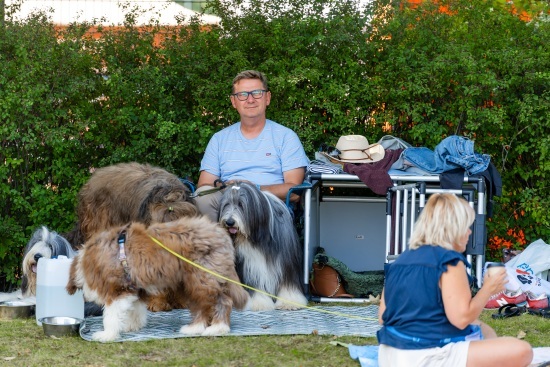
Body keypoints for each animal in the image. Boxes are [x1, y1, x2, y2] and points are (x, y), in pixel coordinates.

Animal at [66, 217, 249, 344]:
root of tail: (221, 234)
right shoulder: (135, 288)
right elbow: (136, 309)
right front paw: (131, 326)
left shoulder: (119, 289)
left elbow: (111, 315)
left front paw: (107, 334)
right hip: (190, 283)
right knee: (201, 306)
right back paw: (193, 328)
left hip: (203, 278)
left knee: (222, 301)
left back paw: (218, 328)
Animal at [218, 183, 308, 312]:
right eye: (226, 204)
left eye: (241, 204)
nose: (229, 222)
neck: (259, 239)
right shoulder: (251, 265)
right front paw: (259, 303)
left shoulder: (286, 263)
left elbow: (288, 283)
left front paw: (289, 302)